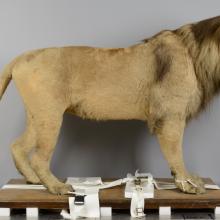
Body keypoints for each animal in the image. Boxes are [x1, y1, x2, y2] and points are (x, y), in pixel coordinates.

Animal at [0, 15, 218, 194]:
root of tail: (19, 58)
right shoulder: (171, 115)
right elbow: (175, 153)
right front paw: (188, 184)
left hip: (36, 115)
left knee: (17, 146)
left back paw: (32, 179)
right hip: (50, 115)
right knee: (38, 157)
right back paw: (56, 187)